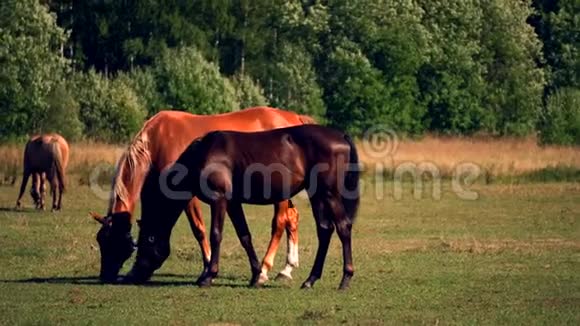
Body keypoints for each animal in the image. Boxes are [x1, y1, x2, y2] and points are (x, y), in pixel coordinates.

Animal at [92, 107, 318, 282]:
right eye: (101, 241)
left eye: (115, 244)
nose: (106, 276)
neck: (160, 139)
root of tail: (294, 117)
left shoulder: (187, 196)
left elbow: (199, 230)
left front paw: (208, 266)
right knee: (292, 218)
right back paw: (286, 269)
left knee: (279, 223)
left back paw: (265, 268)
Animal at [129, 123, 360, 290]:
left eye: (148, 240)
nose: (133, 275)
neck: (204, 153)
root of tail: (341, 136)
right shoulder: (233, 203)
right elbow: (244, 236)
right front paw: (256, 275)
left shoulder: (219, 199)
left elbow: (216, 234)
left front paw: (208, 276)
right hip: (317, 195)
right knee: (325, 230)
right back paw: (310, 279)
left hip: (329, 194)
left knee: (343, 227)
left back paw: (345, 279)